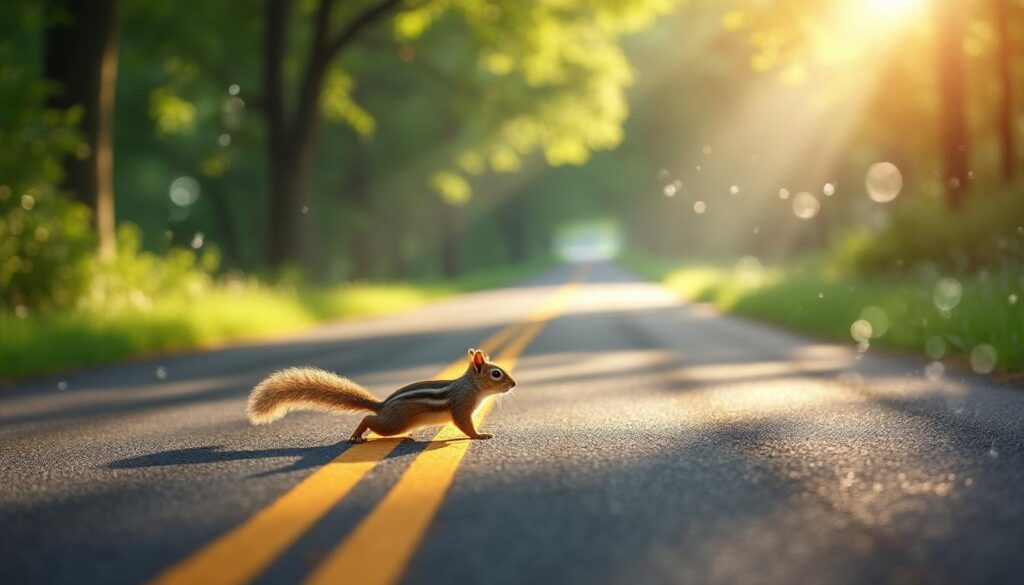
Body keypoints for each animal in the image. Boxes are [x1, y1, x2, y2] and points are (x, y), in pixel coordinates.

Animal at [247, 349, 516, 443]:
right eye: (496, 374)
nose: (514, 384)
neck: (470, 386)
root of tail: (381, 405)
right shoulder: (461, 405)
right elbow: (463, 424)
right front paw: (480, 435)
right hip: (394, 423)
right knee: (369, 420)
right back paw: (357, 435)